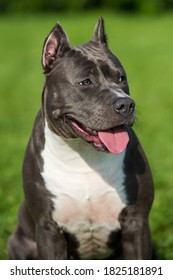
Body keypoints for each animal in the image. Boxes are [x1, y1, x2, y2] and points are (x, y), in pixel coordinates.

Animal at [8, 18, 154, 260]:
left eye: (121, 78)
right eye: (85, 82)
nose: (125, 104)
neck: (82, 154)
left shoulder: (136, 222)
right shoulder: (48, 229)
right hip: (19, 243)